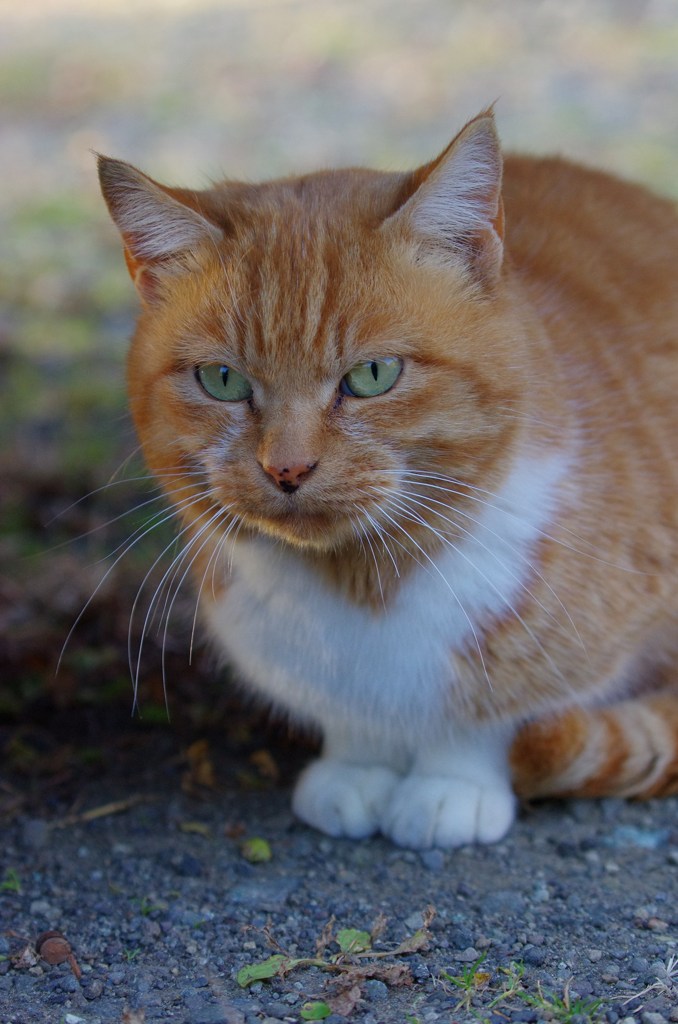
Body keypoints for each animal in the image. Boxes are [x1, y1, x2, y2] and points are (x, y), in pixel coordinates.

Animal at [98, 110, 678, 847]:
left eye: (373, 375)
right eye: (222, 380)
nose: (287, 466)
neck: (360, 583)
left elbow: (489, 723)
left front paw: (450, 788)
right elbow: (356, 732)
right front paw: (359, 772)